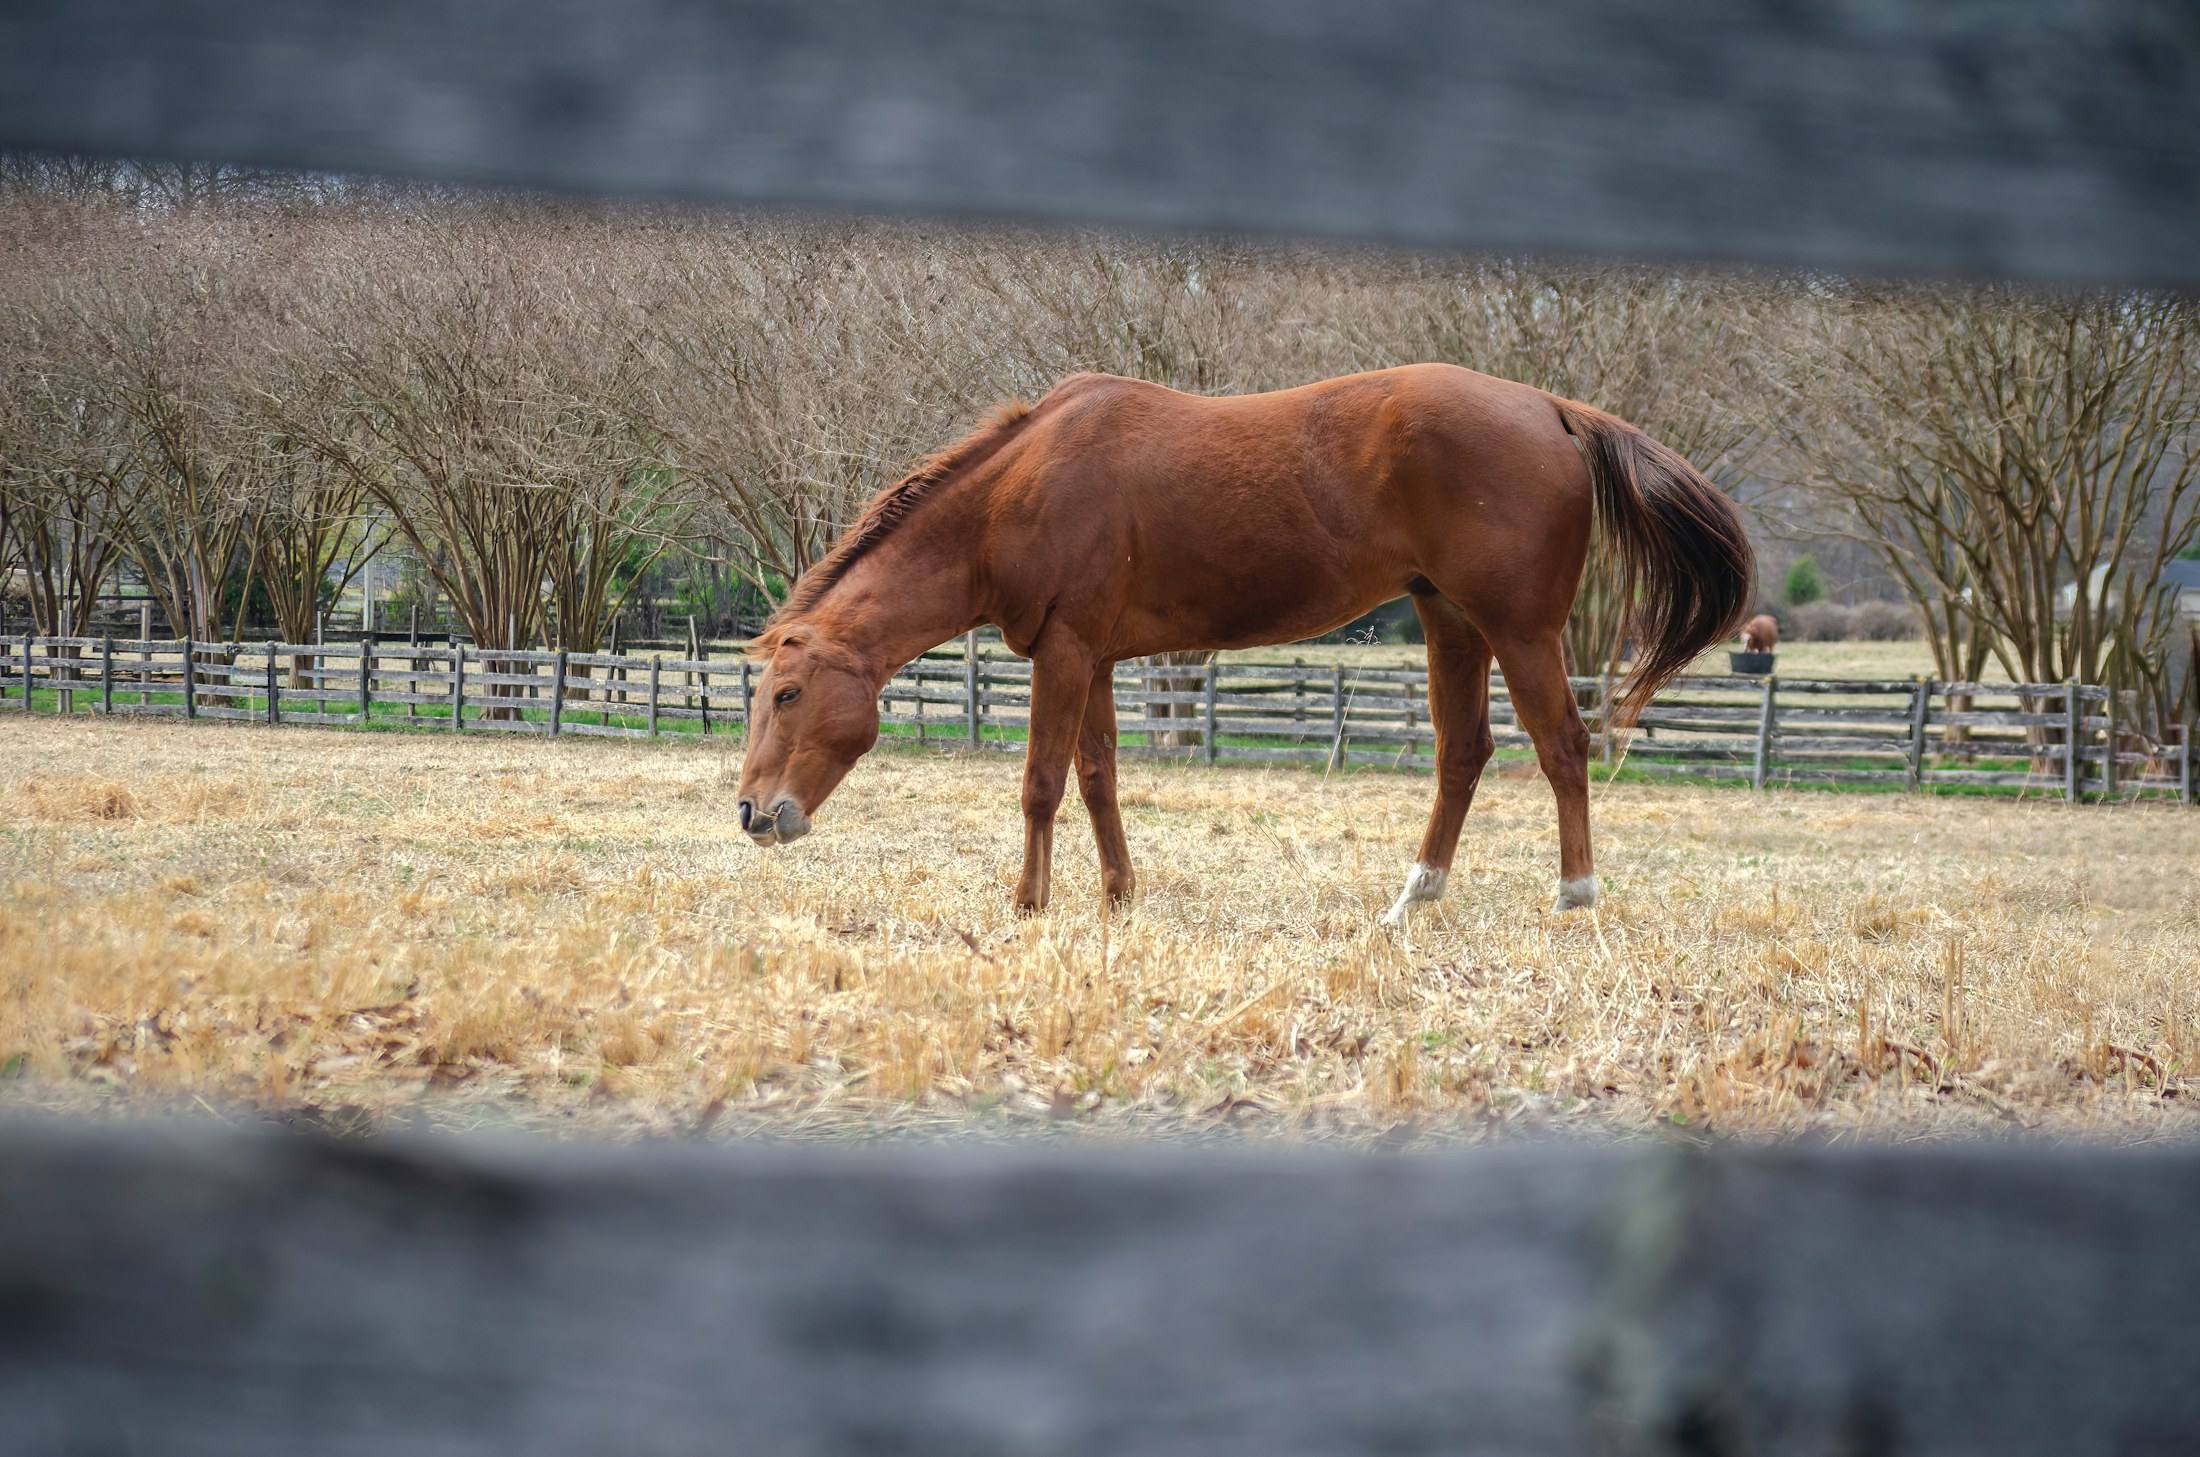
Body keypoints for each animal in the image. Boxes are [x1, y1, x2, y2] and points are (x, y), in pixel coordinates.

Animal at [735, 365, 1752, 922]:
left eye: (786, 693)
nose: (751, 814)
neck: (1018, 491)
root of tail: (1551, 408)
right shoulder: (1094, 658)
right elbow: (1100, 776)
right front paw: (1119, 895)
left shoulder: (1063, 653)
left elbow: (1042, 783)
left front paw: (1029, 903)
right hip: (1449, 622)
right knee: (1464, 754)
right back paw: (1412, 901)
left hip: (1520, 630)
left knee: (1564, 747)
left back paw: (1575, 897)